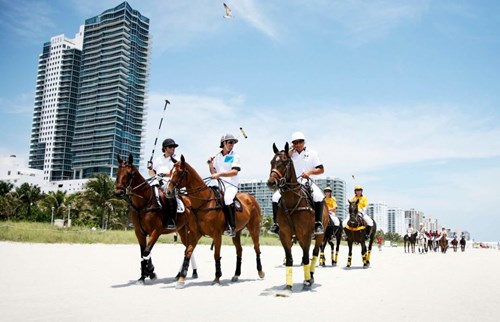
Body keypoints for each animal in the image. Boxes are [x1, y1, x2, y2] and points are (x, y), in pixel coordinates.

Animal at [114, 155, 197, 284]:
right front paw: (143, 277)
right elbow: (143, 252)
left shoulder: (156, 231)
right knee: (188, 247)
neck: (143, 204)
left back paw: (192, 272)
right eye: (117, 172)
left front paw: (150, 271)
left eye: (130, 174)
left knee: (190, 248)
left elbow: (146, 252)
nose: (118, 192)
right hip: (182, 230)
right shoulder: (139, 233)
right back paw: (180, 274)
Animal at [166, 155, 266, 288]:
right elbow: (188, 252)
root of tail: (251, 197)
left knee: (256, 247)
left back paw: (260, 272)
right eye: (170, 172)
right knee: (239, 250)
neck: (203, 202)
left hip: (254, 228)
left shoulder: (217, 235)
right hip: (237, 231)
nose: (168, 192)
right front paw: (181, 279)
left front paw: (217, 277)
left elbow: (216, 255)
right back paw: (236, 274)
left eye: (179, 172)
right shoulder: (195, 234)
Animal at [266, 142, 328, 296]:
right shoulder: (285, 235)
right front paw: (288, 286)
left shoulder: (306, 235)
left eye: (285, 162)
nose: (271, 183)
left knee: (314, 253)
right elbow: (289, 259)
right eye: (271, 162)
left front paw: (306, 283)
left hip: (319, 235)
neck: (291, 202)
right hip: (299, 238)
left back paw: (310, 277)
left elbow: (306, 258)